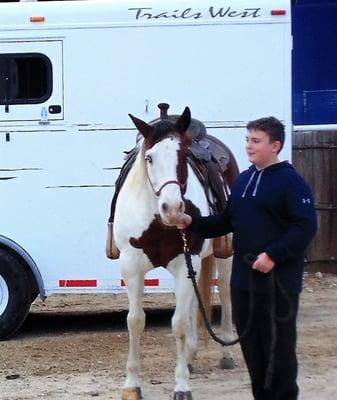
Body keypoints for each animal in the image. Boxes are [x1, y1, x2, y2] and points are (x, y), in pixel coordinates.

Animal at [114, 106, 238, 400]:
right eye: (149, 158)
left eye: (183, 156)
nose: (172, 209)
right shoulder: (131, 266)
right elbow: (135, 321)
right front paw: (132, 385)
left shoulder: (184, 263)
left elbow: (179, 323)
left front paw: (181, 387)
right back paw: (190, 358)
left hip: (224, 256)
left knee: (225, 296)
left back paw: (226, 353)